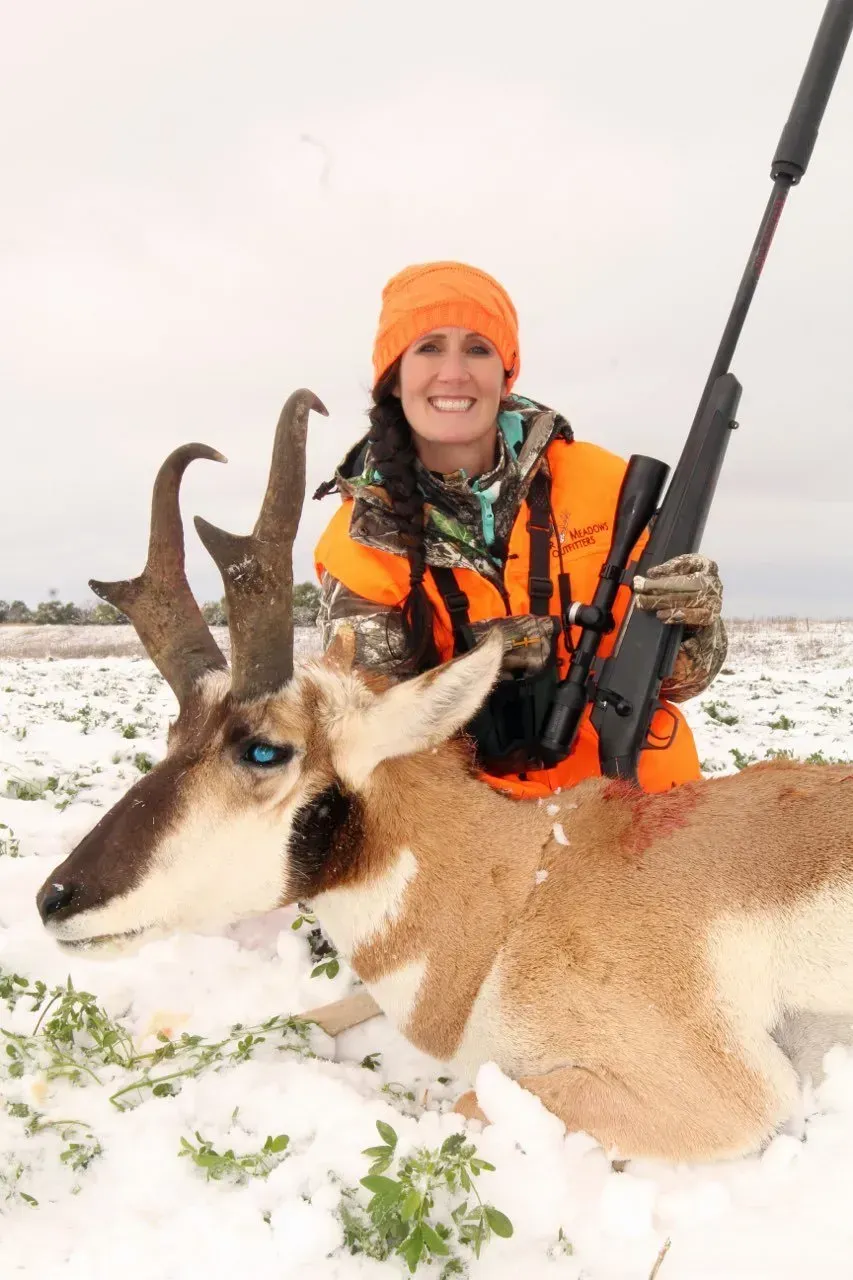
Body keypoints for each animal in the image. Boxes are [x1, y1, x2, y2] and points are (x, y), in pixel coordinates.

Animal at [36, 389, 853, 1163]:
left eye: (264, 750)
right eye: (174, 733)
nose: (53, 900)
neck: (522, 890)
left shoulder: (724, 1098)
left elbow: (457, 1101)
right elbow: (294, 1018)